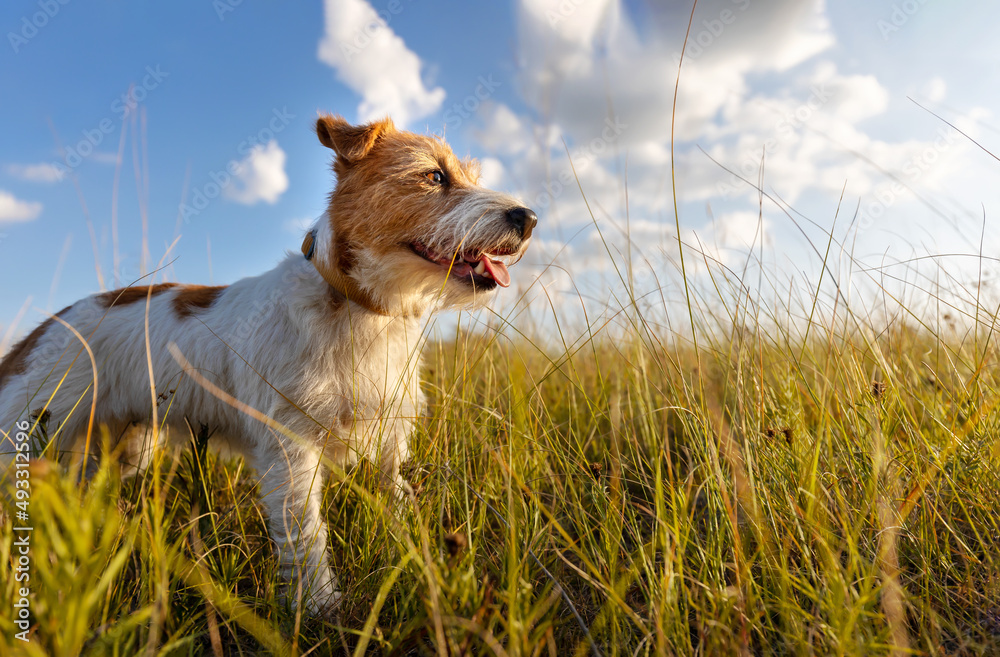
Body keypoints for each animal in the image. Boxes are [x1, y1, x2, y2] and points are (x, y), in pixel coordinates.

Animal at [0, 115, 536, 612]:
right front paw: (319, 606)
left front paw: (419, 561)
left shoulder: (388, 441)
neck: (359, 308)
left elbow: (396, 500)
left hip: (117, 450)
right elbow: (306, 535)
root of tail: (46, 327)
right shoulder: (290, 450)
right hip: (28, 439)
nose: (528, 217)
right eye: (433, 176)